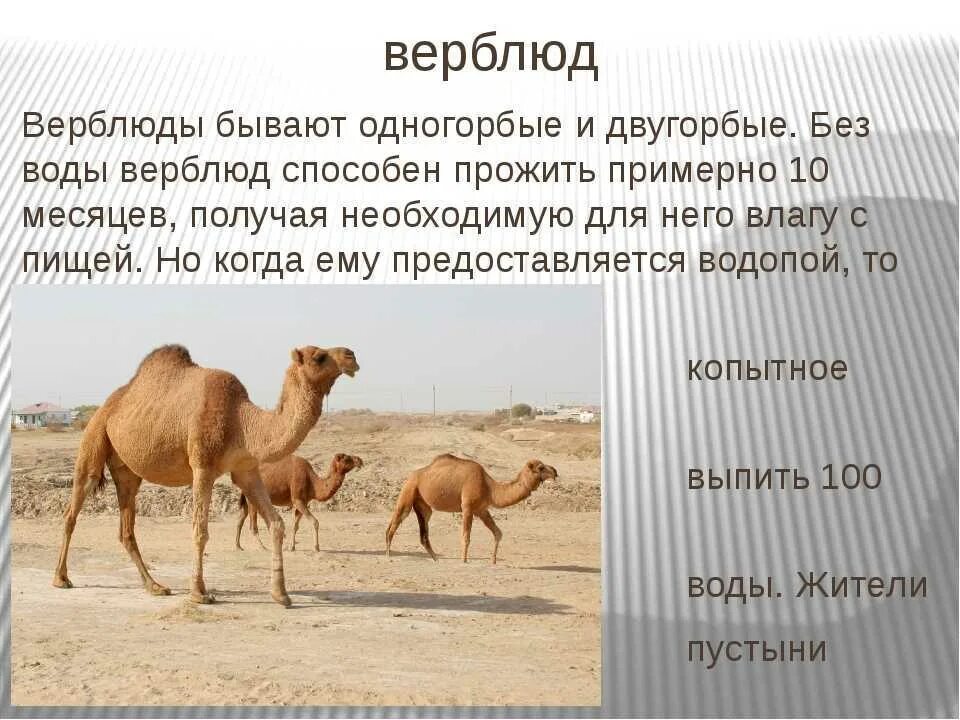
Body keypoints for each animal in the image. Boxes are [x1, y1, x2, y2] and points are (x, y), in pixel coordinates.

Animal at [235, 453, 364, 552]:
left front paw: (292, 547)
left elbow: (295, 526)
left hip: (247, 497)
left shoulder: (303, 502)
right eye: (347, 458)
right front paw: (316, 547)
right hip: (252, 498)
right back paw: (263, 547)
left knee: (241, 519)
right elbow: (315, 522)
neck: (312, 482)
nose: (360, 460)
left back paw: (238, 546)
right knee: (252, 526)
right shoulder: (297, 500)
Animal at [385, 455, 558, 564]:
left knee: (424, 531)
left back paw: (436, 559)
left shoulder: (481, 509)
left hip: (423, 504)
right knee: (394, 524)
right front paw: (464, 560)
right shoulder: (467, 507)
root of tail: (412, 474)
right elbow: (466, 537)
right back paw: (388, 556)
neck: (490, 487)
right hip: (408, 491)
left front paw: (493, 560)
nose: (555, 471)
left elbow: (498, 533)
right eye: (541, 467)